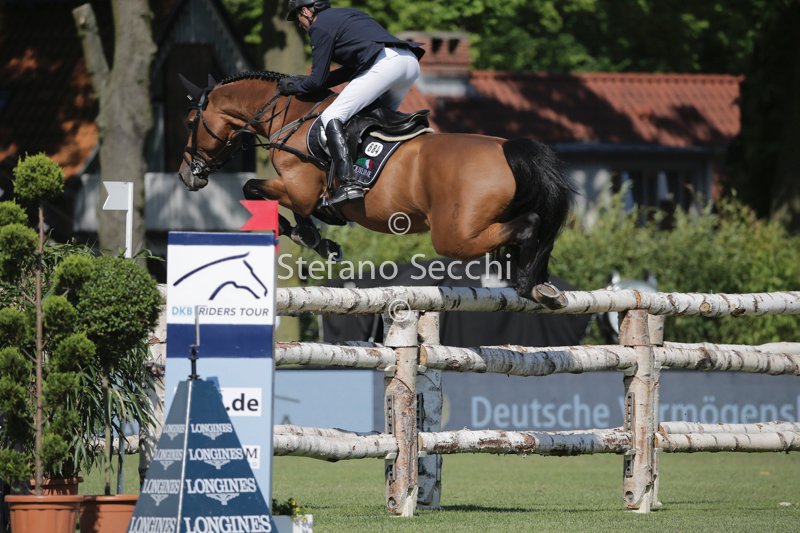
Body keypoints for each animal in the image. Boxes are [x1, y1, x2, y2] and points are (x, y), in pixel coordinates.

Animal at [177, 71, 575, 300]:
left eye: (191, 121)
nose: (186, 175)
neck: (292, 118)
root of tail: (505, 147)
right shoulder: (299, 191)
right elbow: (267, 196)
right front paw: (320, 240)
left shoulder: (298, 188)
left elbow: (255, 190)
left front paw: (313, 238)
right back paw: (534, 280)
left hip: (453, 235)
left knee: (530, 225)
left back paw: (524, 278)